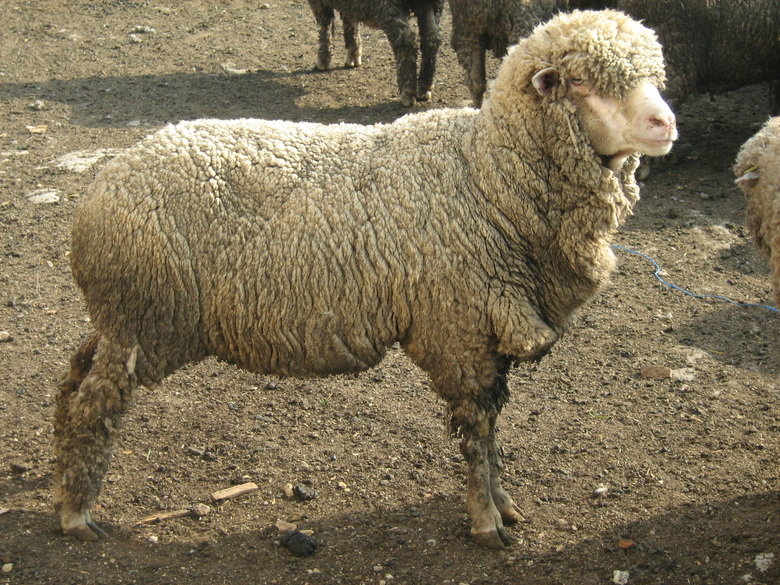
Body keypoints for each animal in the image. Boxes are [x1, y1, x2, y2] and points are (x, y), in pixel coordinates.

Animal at [306, 0, 444, 106]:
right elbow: (350, 20)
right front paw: (353, 56)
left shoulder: (318, 3)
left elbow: (324, 26)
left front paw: (323, 62)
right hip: (432, 5)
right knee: (432, 38)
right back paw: (424, 88)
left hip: (389, 7)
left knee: (406, 42)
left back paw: (407, 93)